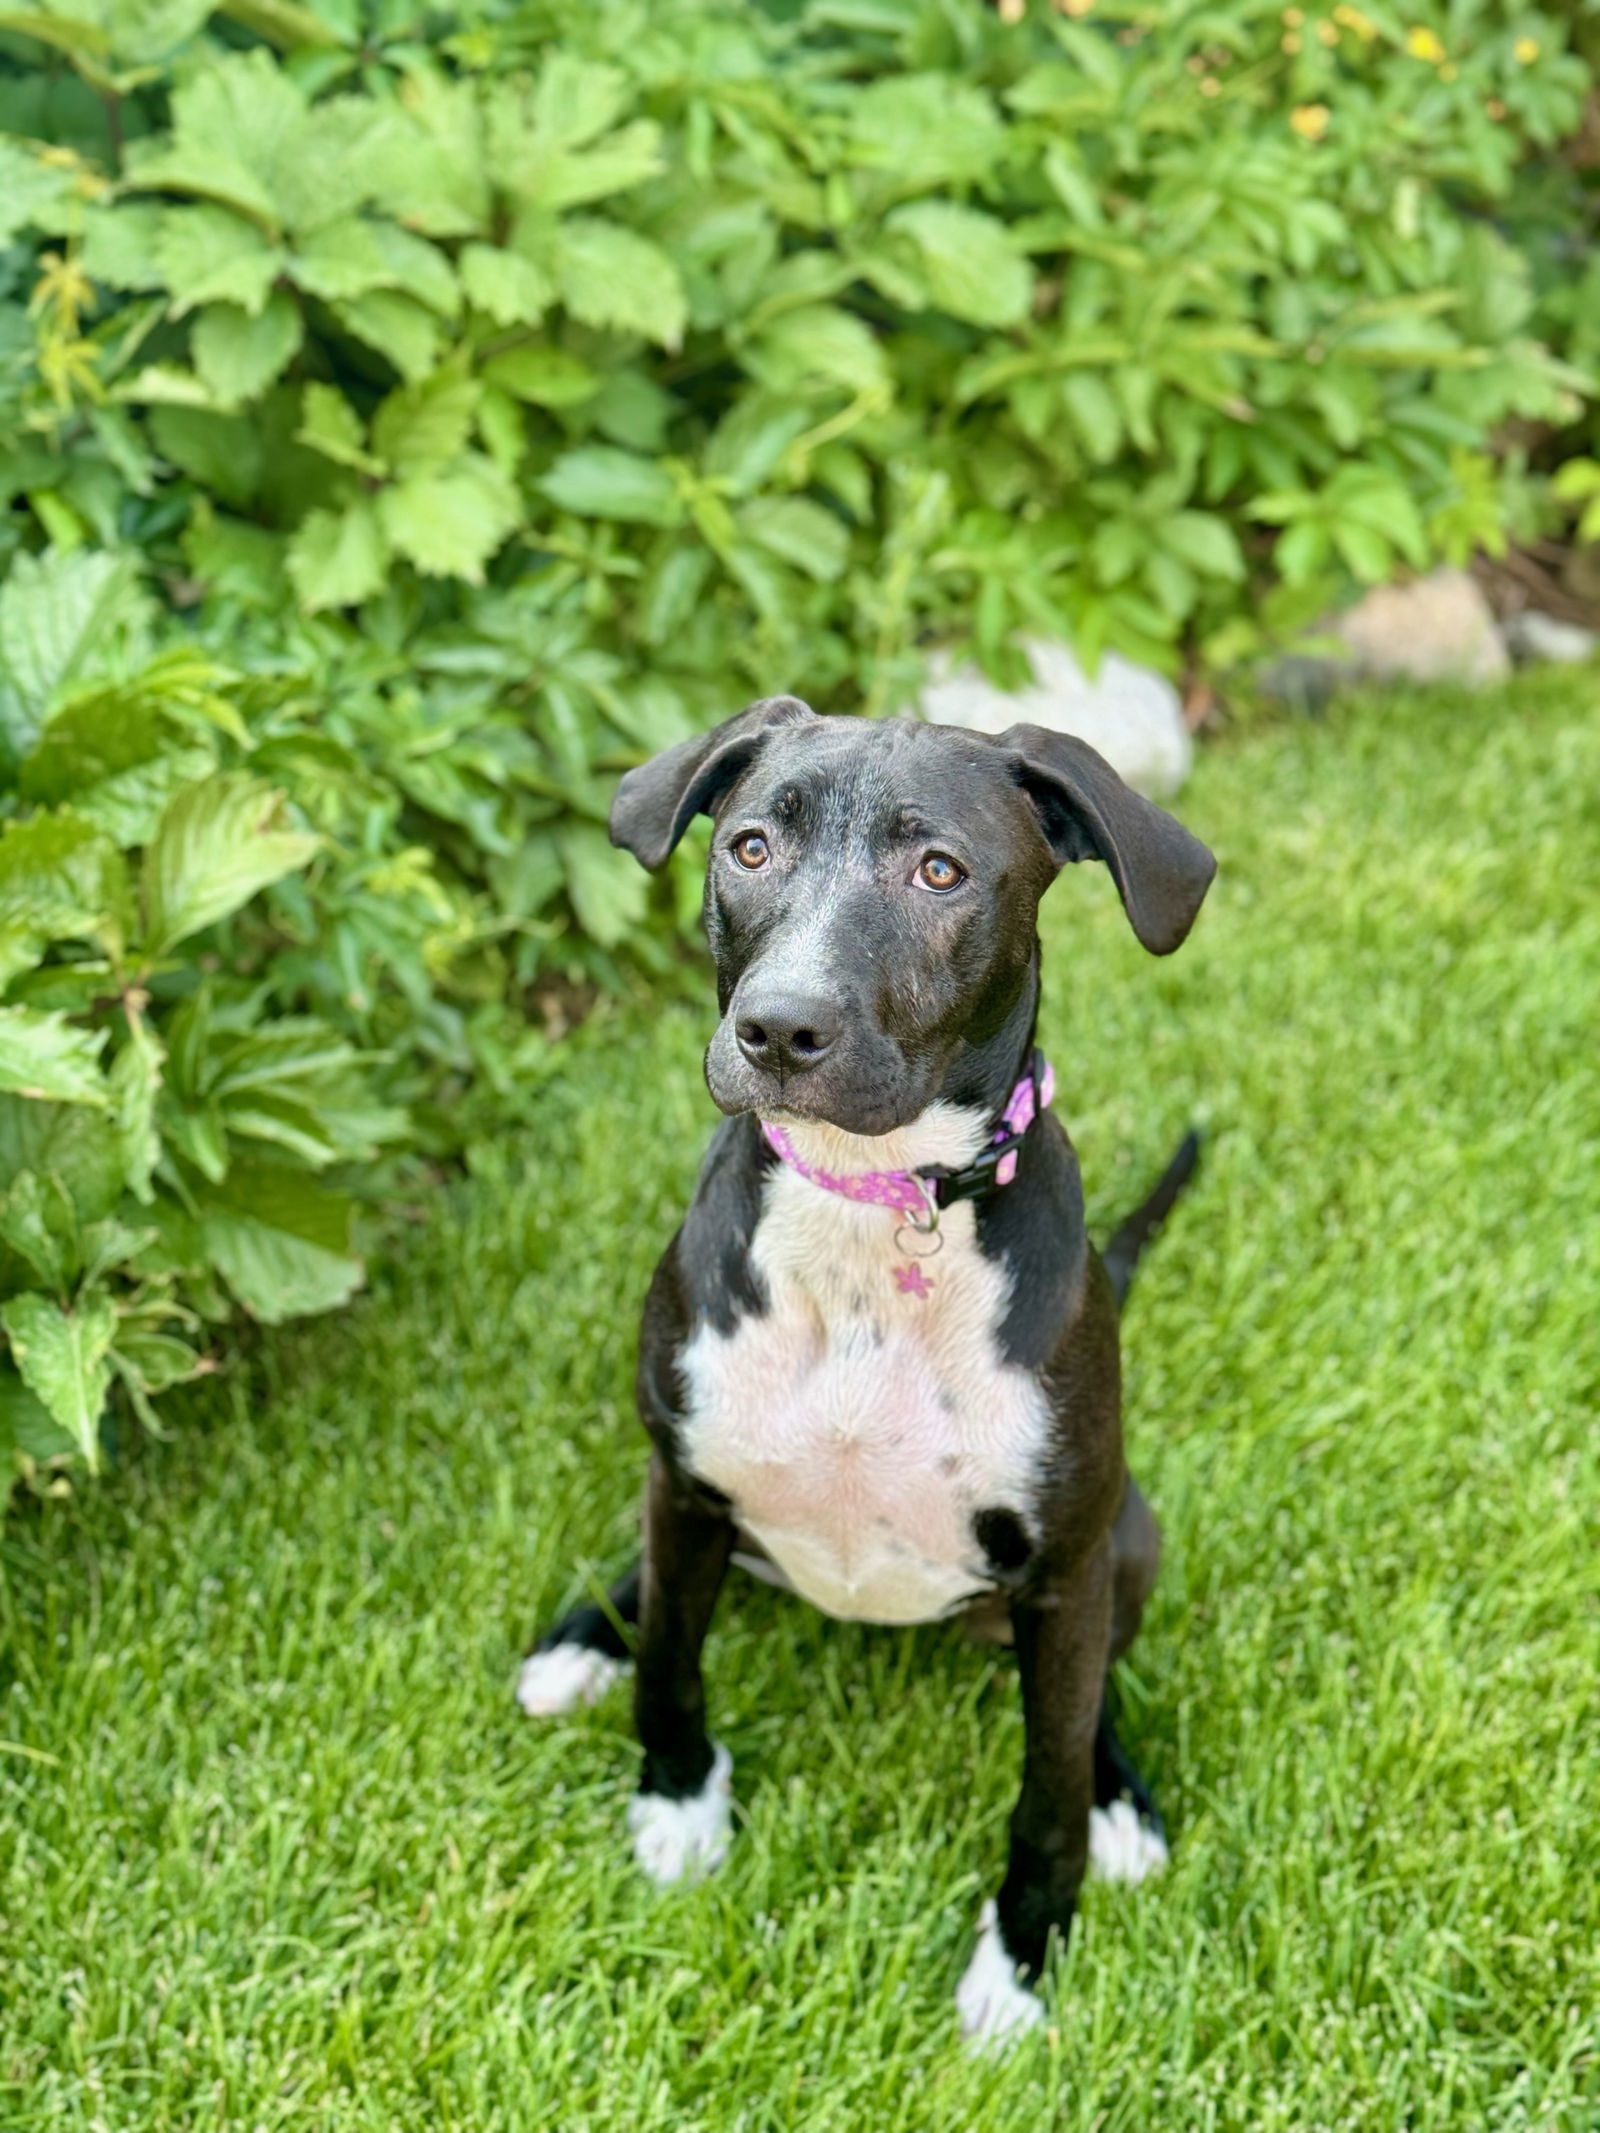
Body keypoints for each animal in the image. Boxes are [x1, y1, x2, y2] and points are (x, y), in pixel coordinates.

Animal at [516, 695, 1211, 2030]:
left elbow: (1046, 1780)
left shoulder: (1066, 1571)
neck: (868, 1201)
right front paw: (677, 1799)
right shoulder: (684, 1478)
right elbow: (670, 1661)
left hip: (1123, 1541)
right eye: (748, 847)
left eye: (938, 870)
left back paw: (1119, 1802)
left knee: (1090, 1698)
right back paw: (583, 1639)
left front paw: (1022, 1953)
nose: (778, 1029)